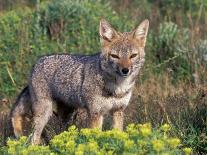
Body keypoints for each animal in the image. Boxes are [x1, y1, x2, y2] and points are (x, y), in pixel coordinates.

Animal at [10, 18, 149, 145]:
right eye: (115, 56)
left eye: (133, 56)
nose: (125, 70)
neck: (117, 87)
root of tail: (37, 62)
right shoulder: (95, 113)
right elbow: (96, 137)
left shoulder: (118, 111)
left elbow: (119, 134)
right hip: (44, 114)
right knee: (34, 137)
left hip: (67, 115)